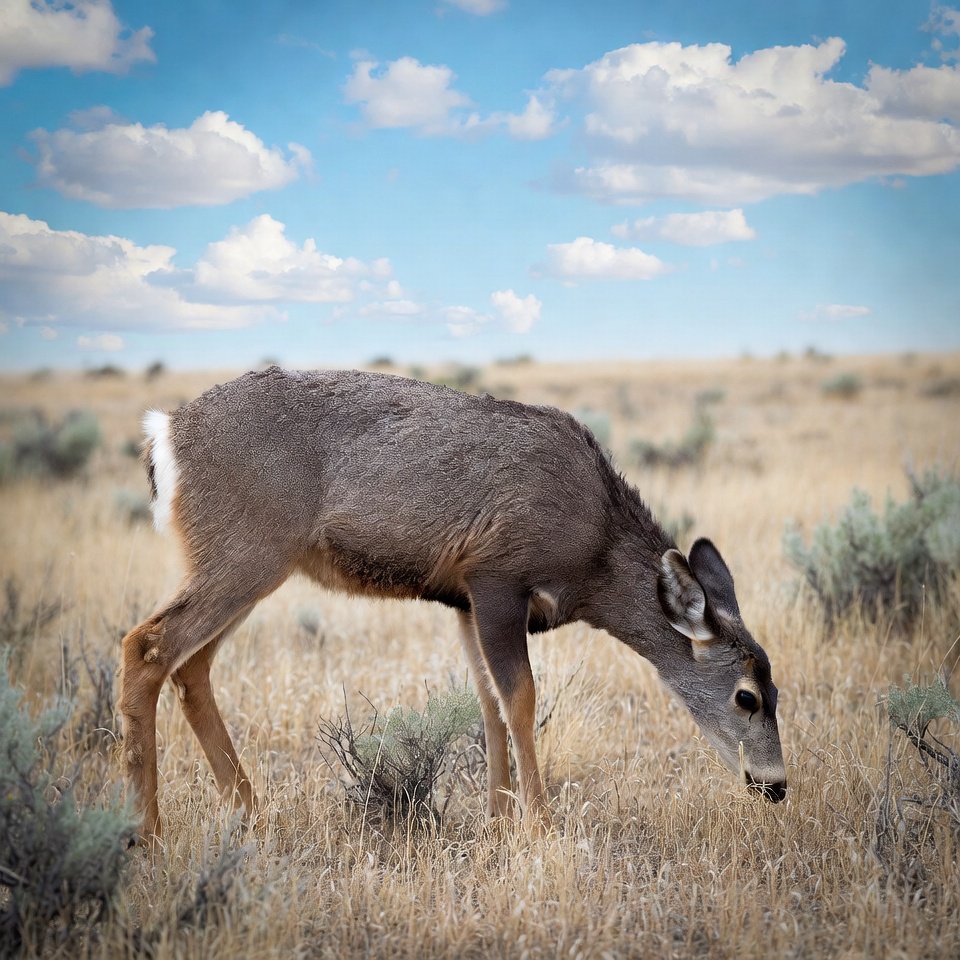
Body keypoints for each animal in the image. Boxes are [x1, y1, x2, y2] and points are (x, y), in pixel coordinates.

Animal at [119, 366, 787, 843]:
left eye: (777, 692)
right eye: (746, 697)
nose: (776, 785)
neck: (593, 548)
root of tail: (164, 432)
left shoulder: (462, 600)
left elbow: (487, 704)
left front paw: (498, 821)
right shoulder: (496, 577)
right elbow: (520, 699)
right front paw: (540, 826)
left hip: (246, 565)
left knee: (191, 666)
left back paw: (249, 812)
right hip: (243, 554)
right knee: (146, 645)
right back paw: (146, 830)